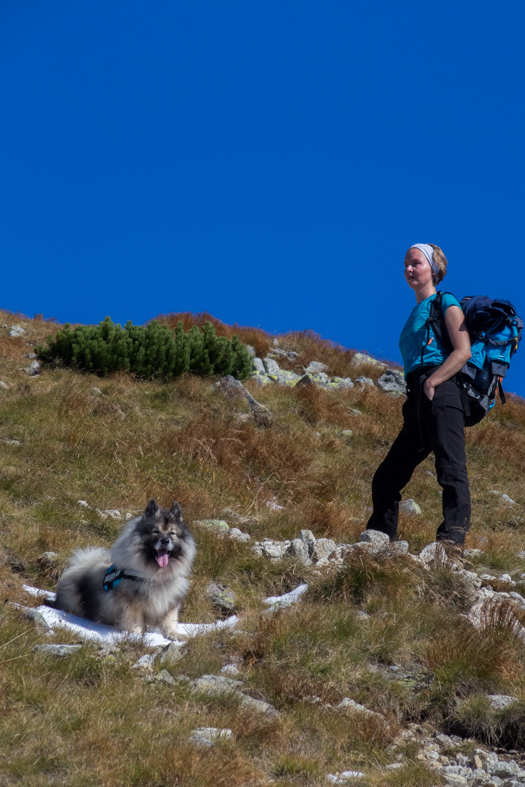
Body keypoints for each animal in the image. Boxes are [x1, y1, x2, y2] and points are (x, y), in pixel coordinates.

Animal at [53, 498, 194, 640]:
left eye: (172, 533)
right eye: (155, 531)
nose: (165, 540)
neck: (155, 575)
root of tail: (78, 564)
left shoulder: (169, 602)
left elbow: (169, 621)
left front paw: (174, 634)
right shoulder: (132, 605)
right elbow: (134, 623)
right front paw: (136, 636)